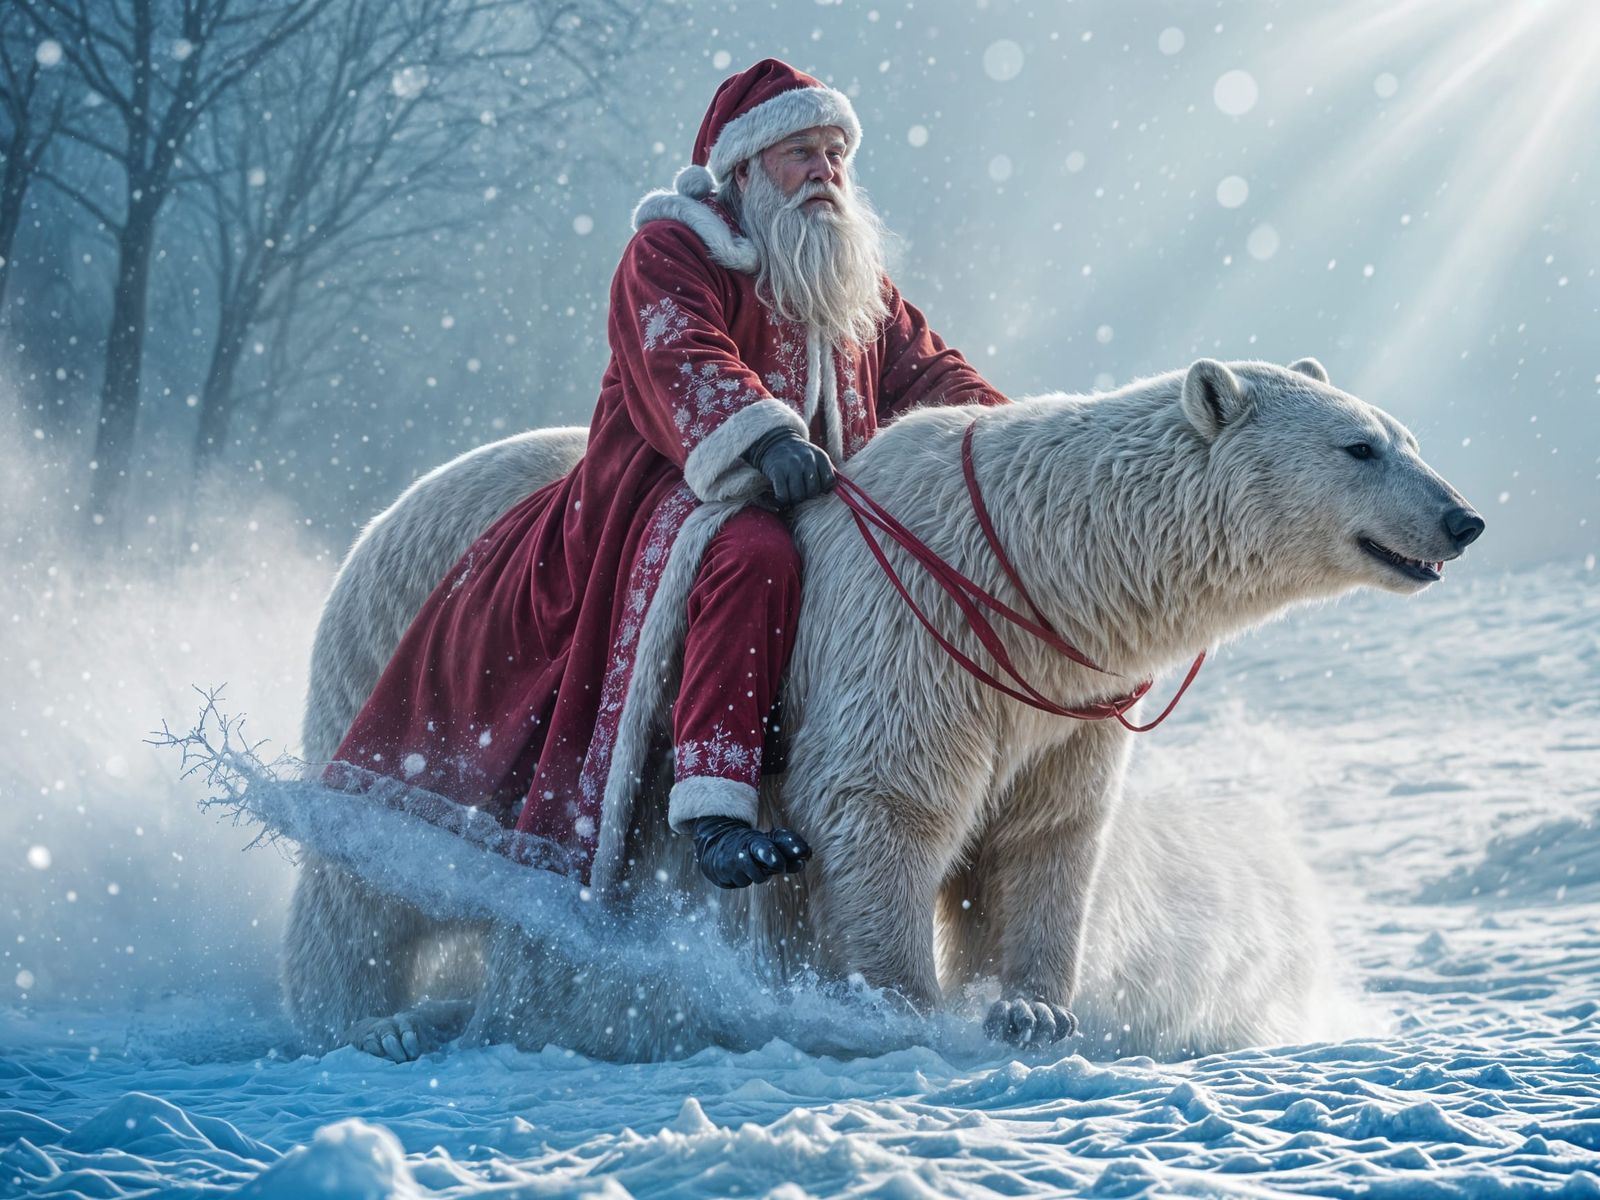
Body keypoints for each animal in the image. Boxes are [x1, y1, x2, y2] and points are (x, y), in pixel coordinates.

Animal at [283, 357, 1483, 1062]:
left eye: (1405, 433)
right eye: (1359, 446)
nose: (1461, 518)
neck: (1037, 573)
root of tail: (380, 515)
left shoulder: (1054, 701)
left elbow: (1046, 837)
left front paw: (1032, 1007)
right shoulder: (908, 644)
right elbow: (882, 808)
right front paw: (898, 1004)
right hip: (431, 679)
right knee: (363, 879)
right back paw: (371, 1021)